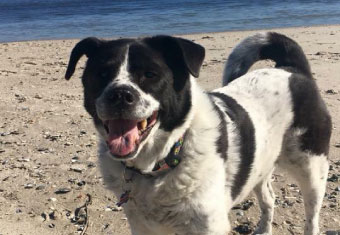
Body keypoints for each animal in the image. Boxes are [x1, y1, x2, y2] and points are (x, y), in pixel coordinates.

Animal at [65, 31, 330, 235]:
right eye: (101, 74)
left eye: (150, 74)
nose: (119, 94)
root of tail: (292, 69)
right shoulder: (143, 226)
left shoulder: (207, 226)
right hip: (260, 165)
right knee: (269, 199)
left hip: (312, 169)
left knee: (312, 217)